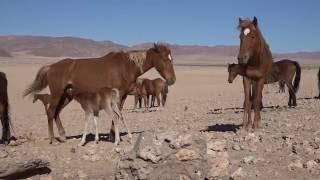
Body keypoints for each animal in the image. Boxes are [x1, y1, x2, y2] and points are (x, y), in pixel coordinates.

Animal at [23, 43, 176, 143]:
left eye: (172, 58)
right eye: (164, 58)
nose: (172, 80)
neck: (125, 66)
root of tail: (51, 67)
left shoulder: (122, 96)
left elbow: (119, 114)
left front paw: (112, 135)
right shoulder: (117, 95)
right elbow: (116, 115)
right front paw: (113, 137)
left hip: (66, 96)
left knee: (57, 113)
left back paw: (62, 136)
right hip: (57, 94)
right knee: (50, 112)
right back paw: (53, 139)